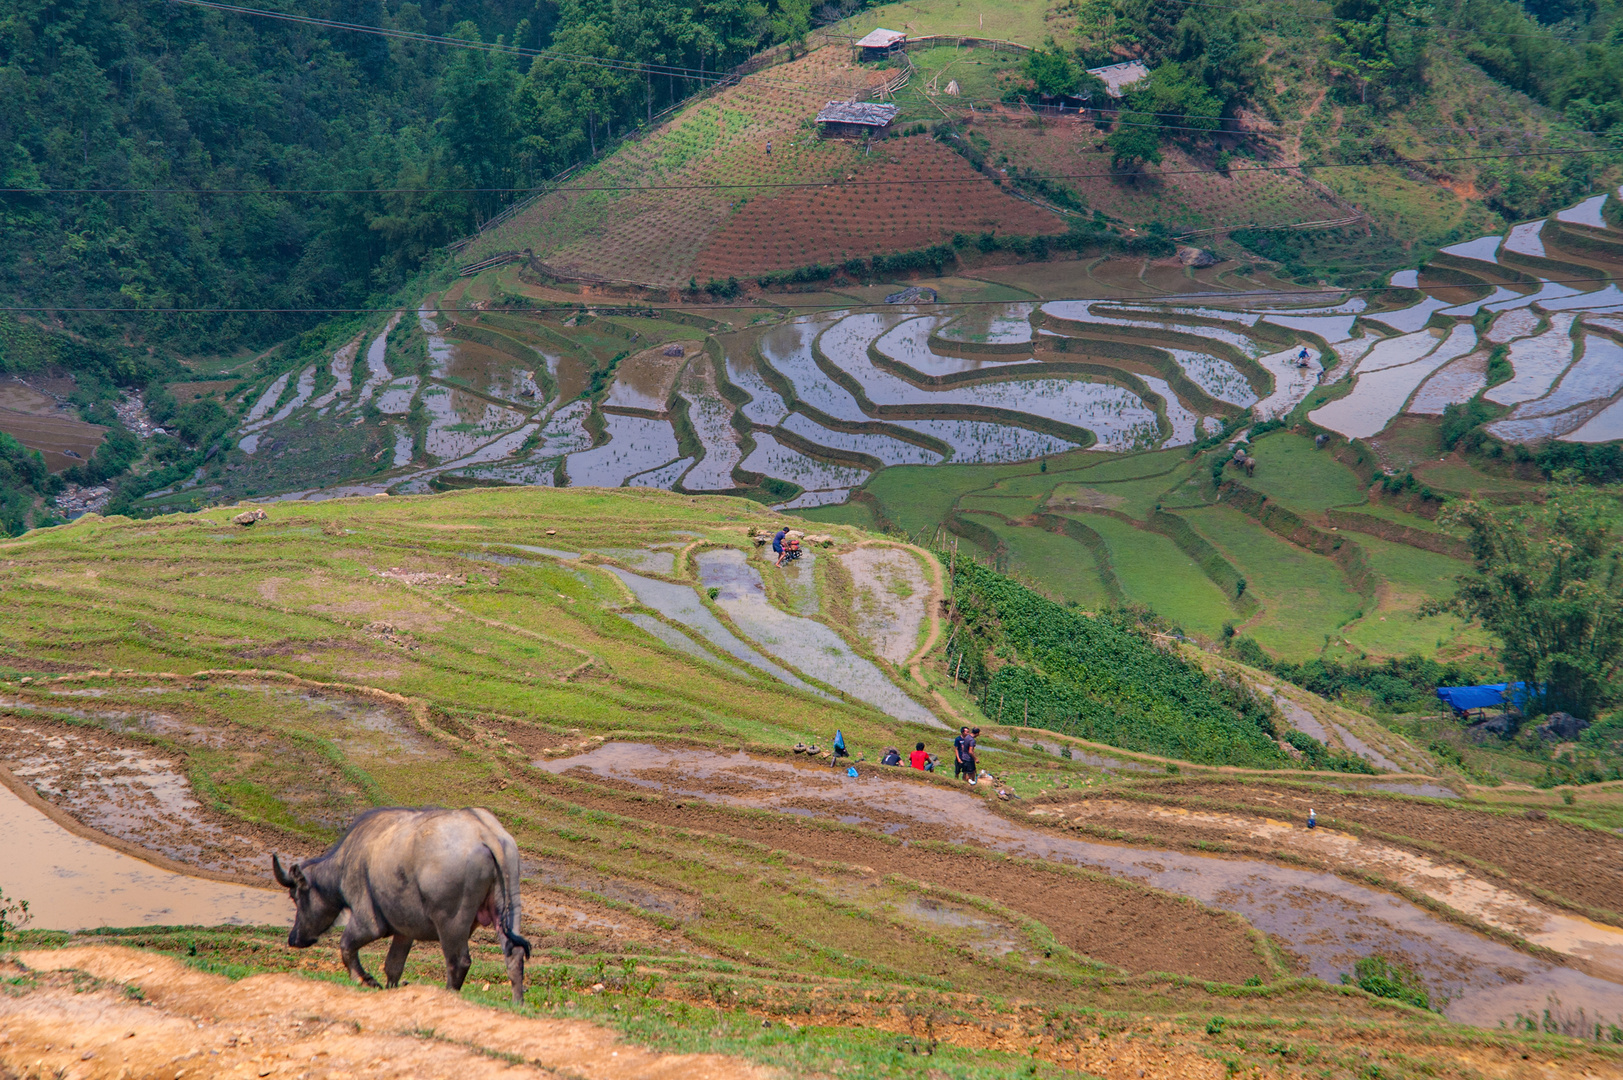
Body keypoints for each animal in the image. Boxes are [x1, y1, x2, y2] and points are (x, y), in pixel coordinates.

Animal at [272, 808, 532, 1000]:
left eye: (295, 896)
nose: (294, 938)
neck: (345, 863)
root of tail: (484, 832)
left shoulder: (368, 922)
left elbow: (346, 946)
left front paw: (365, 980)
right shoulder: (404, 931)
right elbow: (393, 965)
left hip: (451, 922)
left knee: (458, 961)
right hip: (510, 904)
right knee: (514, 953)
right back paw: (517, 1002)